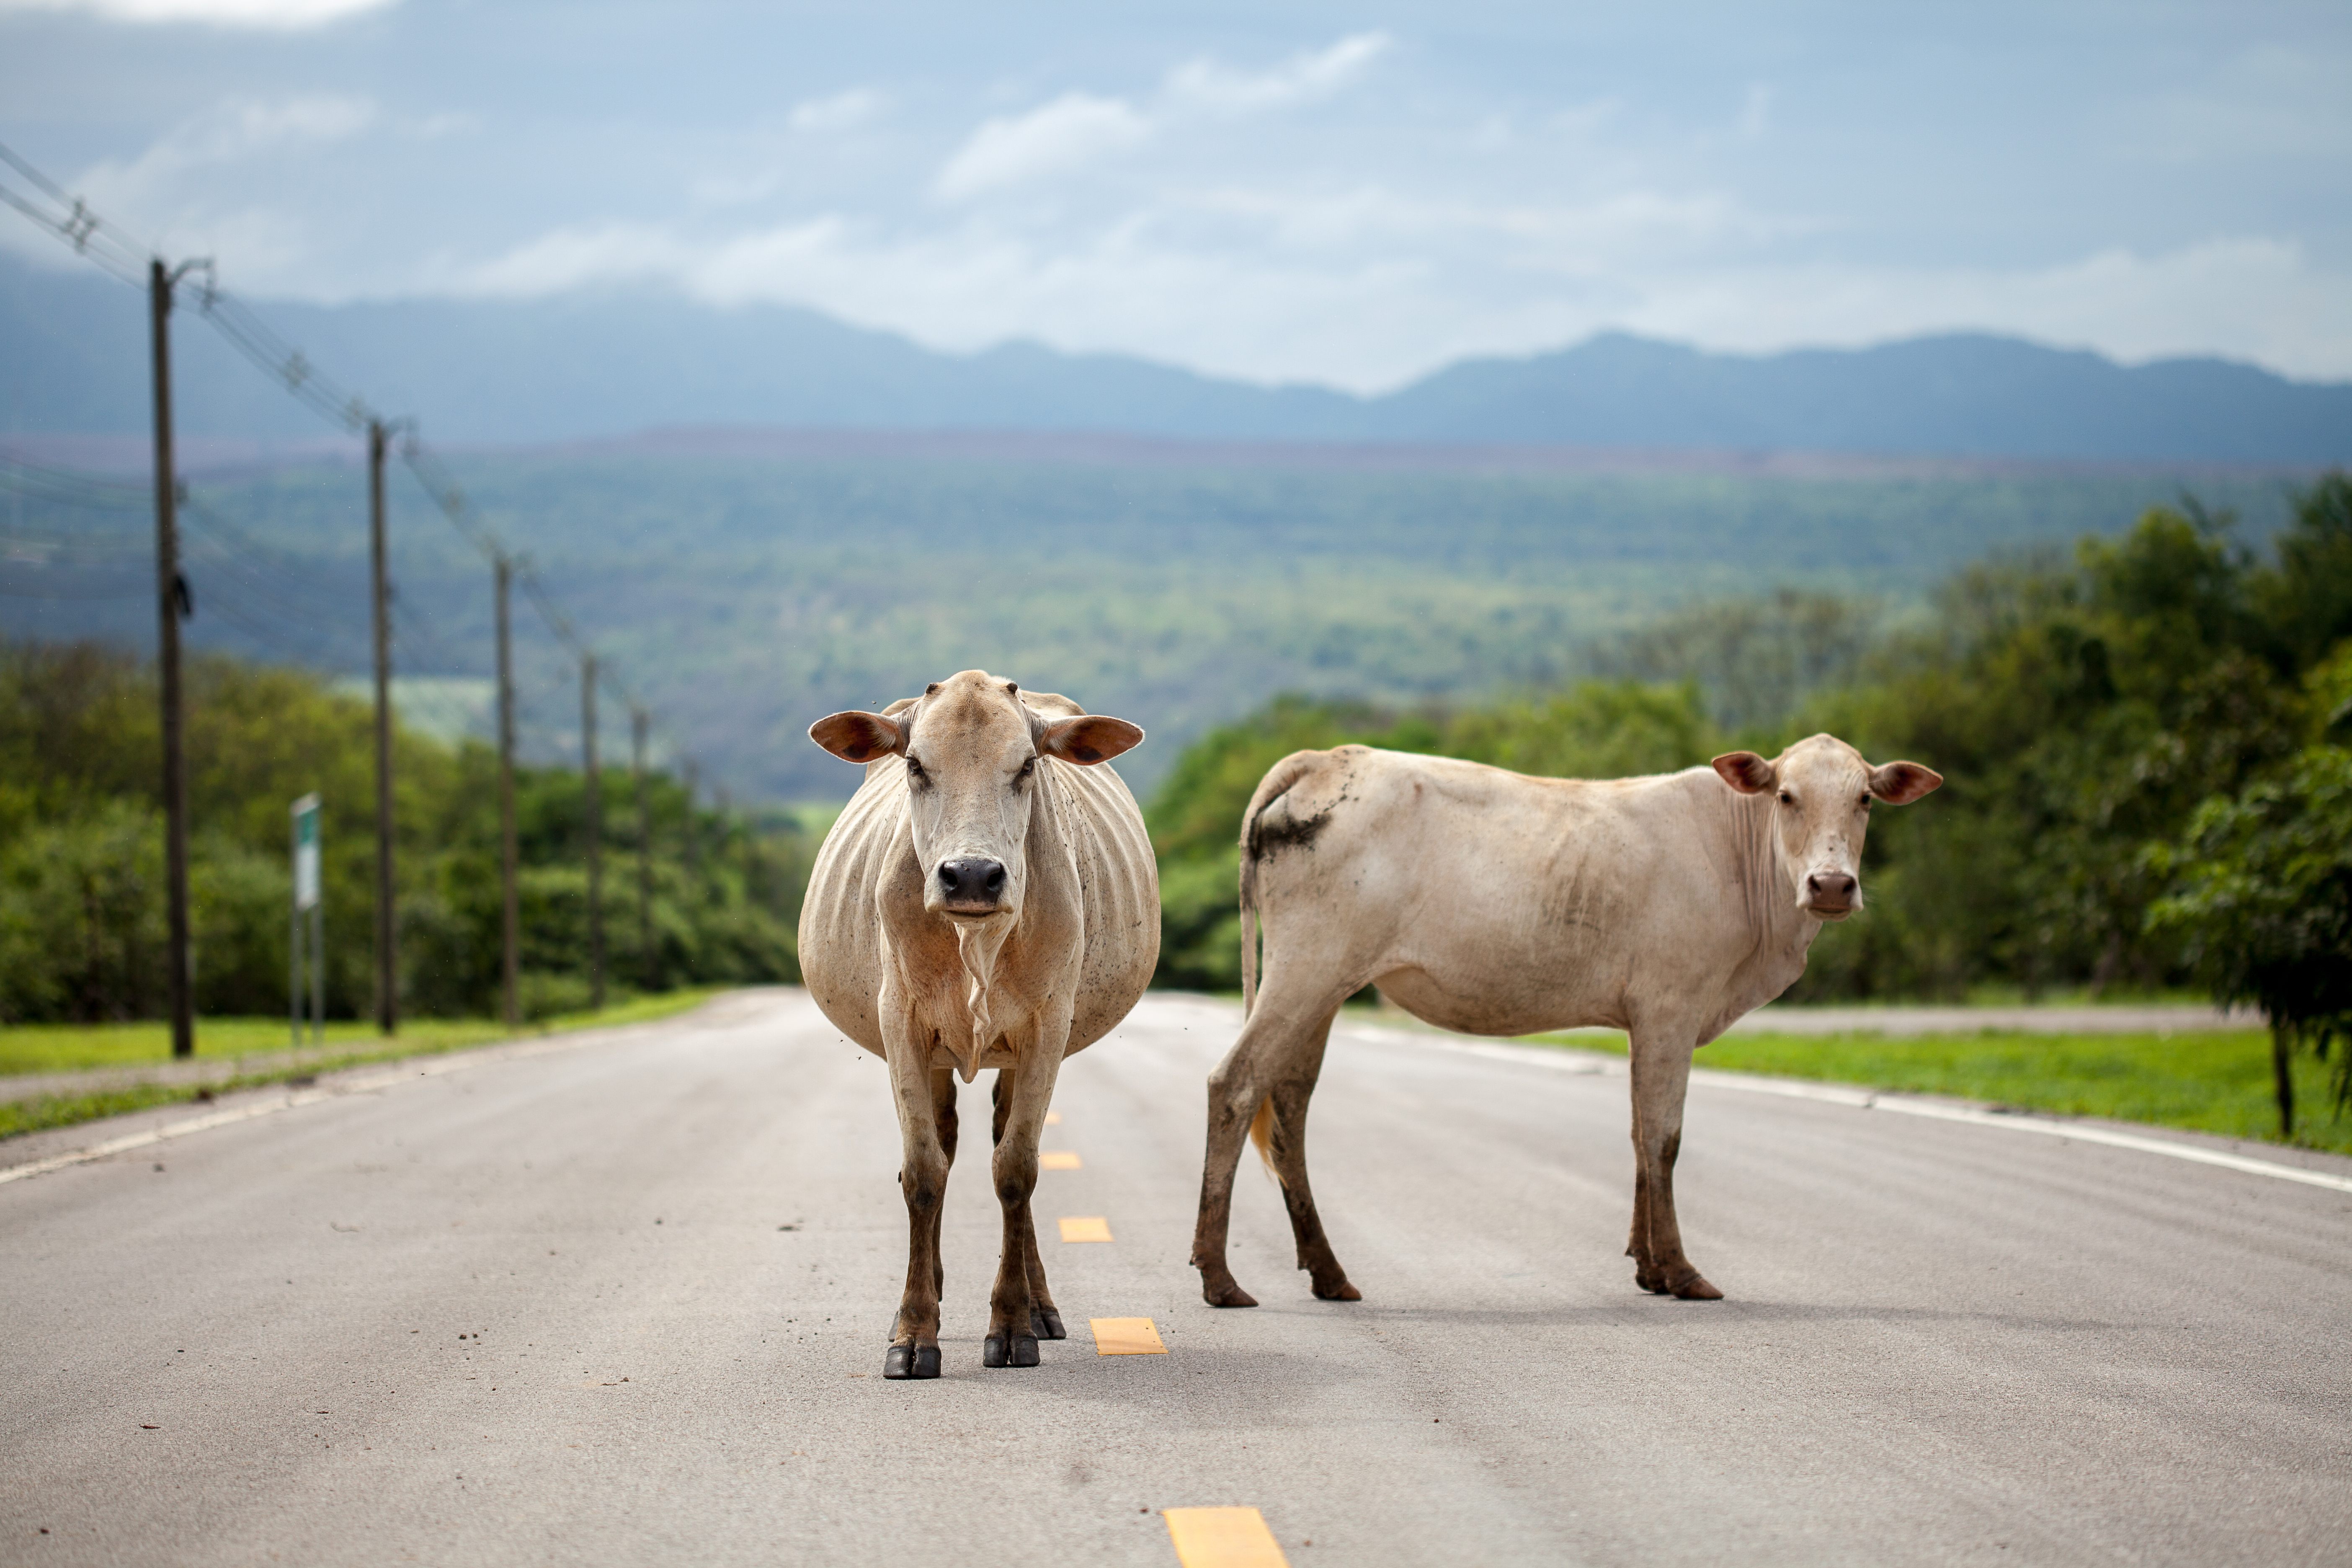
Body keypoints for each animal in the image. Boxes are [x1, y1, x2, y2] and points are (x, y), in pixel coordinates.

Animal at [799, 668, 1157, 1382]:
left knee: (1001, 1141)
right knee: (944, 1140)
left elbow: (1016, 1171)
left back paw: (1040, 1306)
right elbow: (922, 1174)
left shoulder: (1048, 1029)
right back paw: (928, 1292)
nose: (970, 876)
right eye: (915, 765)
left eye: (1026, 766)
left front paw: (1013, 1325)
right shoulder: (901, 1025)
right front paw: (914, 1332)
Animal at [1194, 738, 1947, 1316]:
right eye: (1786, 796)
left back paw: (1329, 1274)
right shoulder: (1671, 1006)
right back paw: (1221, 1279)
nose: (1831, 885)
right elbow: (1665, 1138)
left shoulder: (1646, 1018)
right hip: (1309, 967)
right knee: (1235, 1084)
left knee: (1289, 1107)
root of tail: (1328, 756)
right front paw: (1682, 1273)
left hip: (1322, 983)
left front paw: (1648, 1268)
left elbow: (1640, 1136)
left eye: (1865, 799)